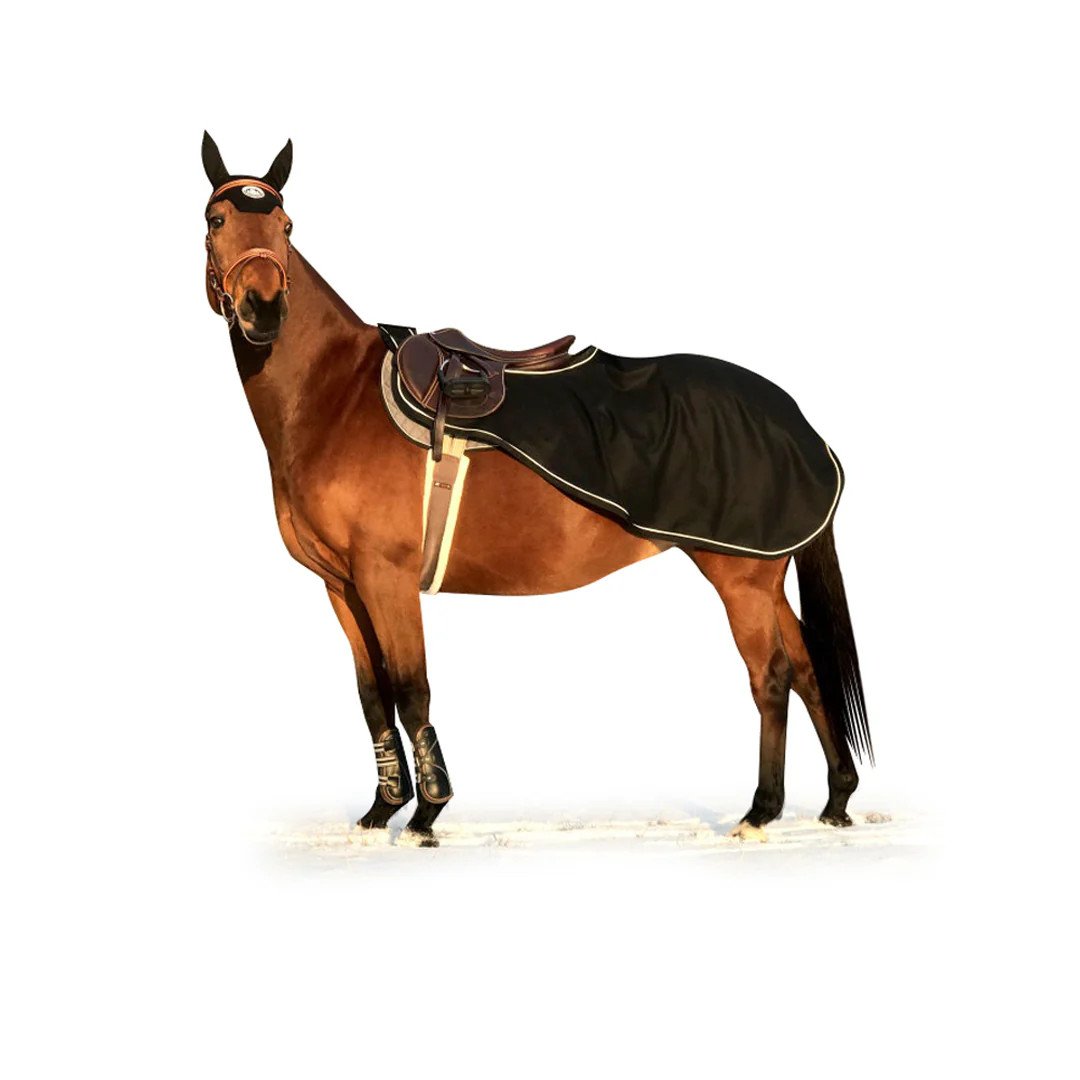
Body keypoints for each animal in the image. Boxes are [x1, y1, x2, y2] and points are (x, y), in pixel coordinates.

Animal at [200, 132, 871, 846]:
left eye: (285, 225)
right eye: (217, 220)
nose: (264, 310)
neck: (335, 397)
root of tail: (793, 417)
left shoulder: (387, 578)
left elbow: (411, 688)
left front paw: (428, 812)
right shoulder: (342, 587)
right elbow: (372, 694)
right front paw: (382, 810)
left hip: (739, 576)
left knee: (770, 677)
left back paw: (760, 811)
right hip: (764, 575)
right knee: (809, 668)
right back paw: (836, 798)